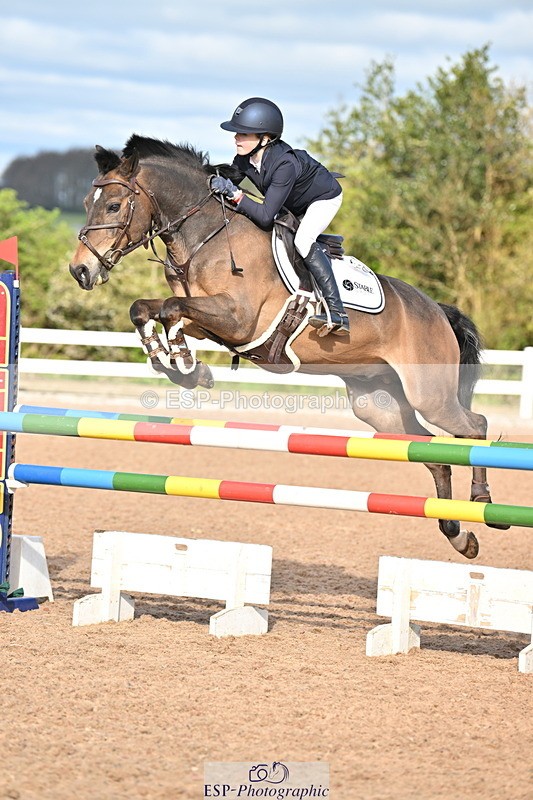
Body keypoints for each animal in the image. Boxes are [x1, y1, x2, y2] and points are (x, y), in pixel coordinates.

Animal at [69, 134, 508, 559]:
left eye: (113, 205)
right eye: (87, 204)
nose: (80, 271)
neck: (207, 237)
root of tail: (438, 310)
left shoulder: (238, 318)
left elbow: (170, 309)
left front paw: (186, 364)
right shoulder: (210, 321)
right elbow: (146, 309)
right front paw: (183, 367)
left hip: (429, 394)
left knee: (475, 426)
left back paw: (484, 504)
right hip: (379, 405)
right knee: (433, 454)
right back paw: (458, 535)